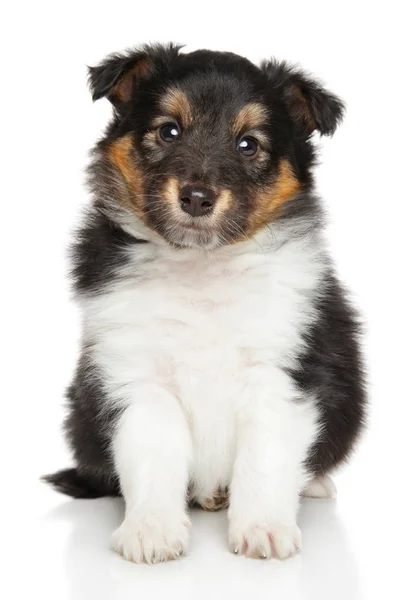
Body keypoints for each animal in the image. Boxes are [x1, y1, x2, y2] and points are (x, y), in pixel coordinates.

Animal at [44, 45, 366, 564]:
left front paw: (263, 530)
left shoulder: (281, 372)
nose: (197, 198)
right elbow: (152, 454)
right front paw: (151, 531)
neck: (200, 267)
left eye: (248, 145)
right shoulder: (136, 374)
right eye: (168, 130)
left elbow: (266, 457)